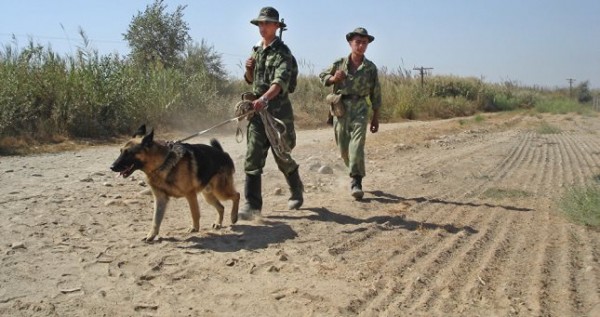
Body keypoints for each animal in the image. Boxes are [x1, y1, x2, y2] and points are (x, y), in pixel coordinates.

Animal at [110, 124, 239, 241]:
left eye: (128, 153)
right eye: (121, 151)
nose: (111, 167)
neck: (161, 162)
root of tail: (223, 153)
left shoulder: (190, 195)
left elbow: (194, 213)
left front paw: (194, 227)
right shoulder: (160, 199)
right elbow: (156, 219)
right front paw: (151, 235)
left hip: (221, 191)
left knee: (236, 195)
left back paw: (234, 216)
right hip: (208, 195)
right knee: (221, 207)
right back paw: (218, 223)